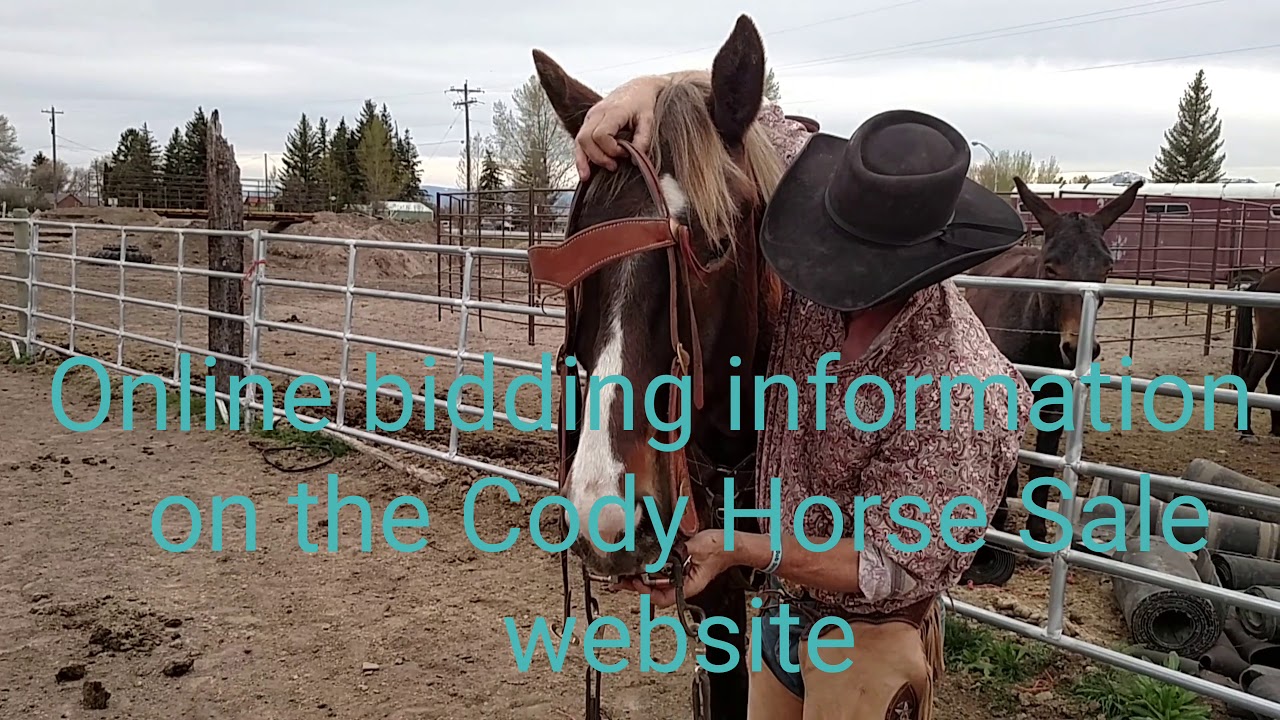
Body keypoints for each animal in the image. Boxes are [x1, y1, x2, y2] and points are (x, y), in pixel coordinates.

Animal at [964, 176, 1143, 544]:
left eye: (1107, 268)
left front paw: (1036, 529)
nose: (1077, 349)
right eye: (1050, 267)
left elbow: (1043, 463)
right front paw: (999, 520)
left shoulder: (1056, 403)